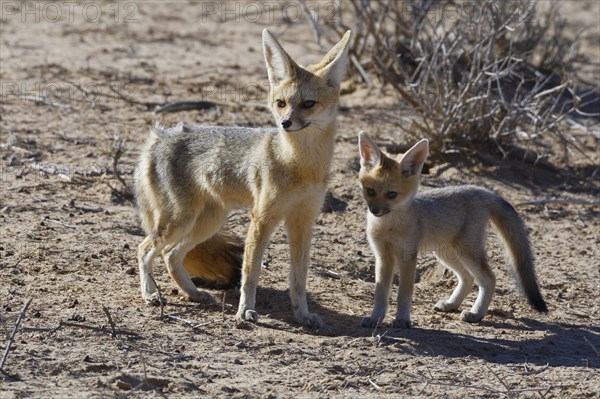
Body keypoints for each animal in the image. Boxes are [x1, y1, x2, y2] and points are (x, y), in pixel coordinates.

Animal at [135, 28, 352, 328]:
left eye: (308, 104)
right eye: (281, 103)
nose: (285, 123)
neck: (301, 166)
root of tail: (157, 137)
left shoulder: (303, 221)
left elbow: (299, 278)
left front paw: (303, 314)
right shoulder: (262, 219)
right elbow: (250, 272)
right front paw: (245, 311)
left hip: (206, 223)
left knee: (170, 256)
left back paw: (193, 293)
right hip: (180, 222)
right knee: (144, 249)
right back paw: (151, 294)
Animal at [356, 132, 548, 328]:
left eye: (392, 195)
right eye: (370, 191)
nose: (375, 210)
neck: (388, 227)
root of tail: (480, 189)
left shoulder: (407, 257)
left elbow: (404, 292)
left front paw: (402, 319)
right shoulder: (383, 257)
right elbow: (381, 293)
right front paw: (375, 318)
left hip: (466, 252)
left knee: (489, 278)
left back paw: (476, 313)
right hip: (446, 254)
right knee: (468, 278)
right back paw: (452, 304)